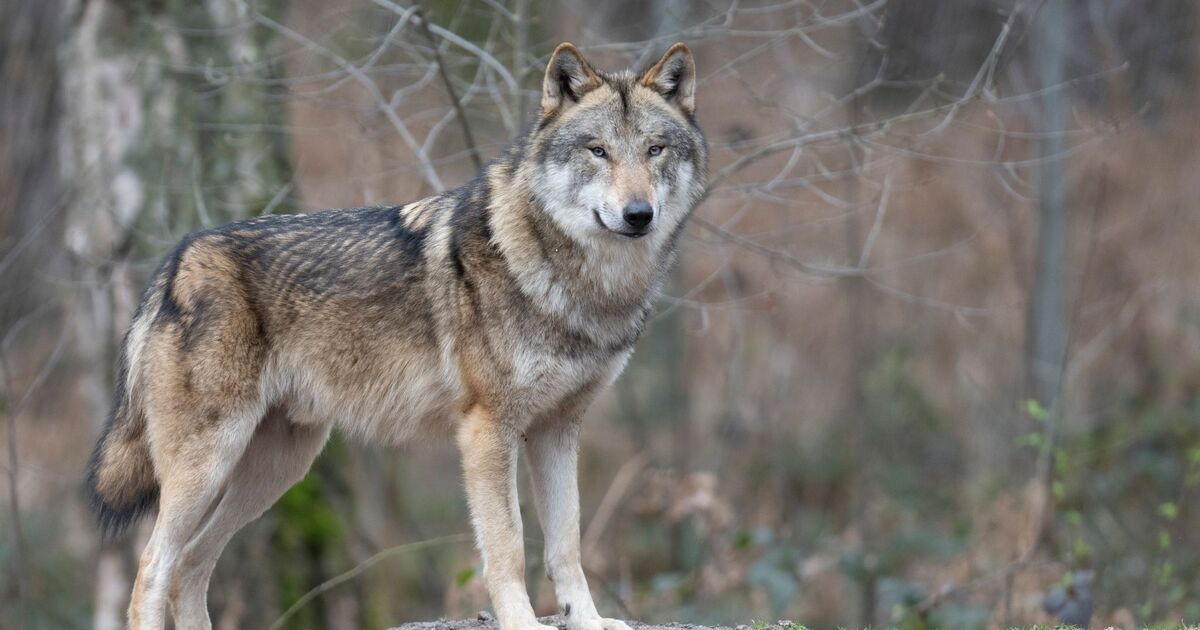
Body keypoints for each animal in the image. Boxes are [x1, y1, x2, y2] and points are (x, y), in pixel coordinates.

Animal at [86, 42, 706, 630]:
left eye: (654, 150)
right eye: (597, 151)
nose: (638, 214)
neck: (582, 286)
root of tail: (177, 260)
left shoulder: (558, 430)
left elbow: (567, 546)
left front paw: (589, 621)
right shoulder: (488, 430)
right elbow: (507, 546)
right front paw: (522, 622)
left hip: (277, 470)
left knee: (191, 564)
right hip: (211, 463)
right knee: (152, 568)